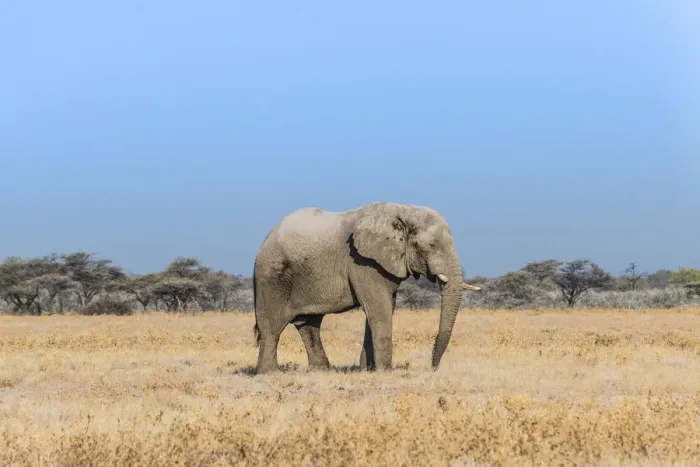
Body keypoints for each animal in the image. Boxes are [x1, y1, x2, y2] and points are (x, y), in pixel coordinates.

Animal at [252, 202, 481, 374]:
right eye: (431, 246)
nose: (432, 368)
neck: (403, 210)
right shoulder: (362, 262)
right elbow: (379, 309)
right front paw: (385, 372)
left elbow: (382, 309)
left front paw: (367, 370)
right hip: (271, 277)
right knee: (272, 326)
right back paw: (270, 374)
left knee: (309, 325)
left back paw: (321, 371)